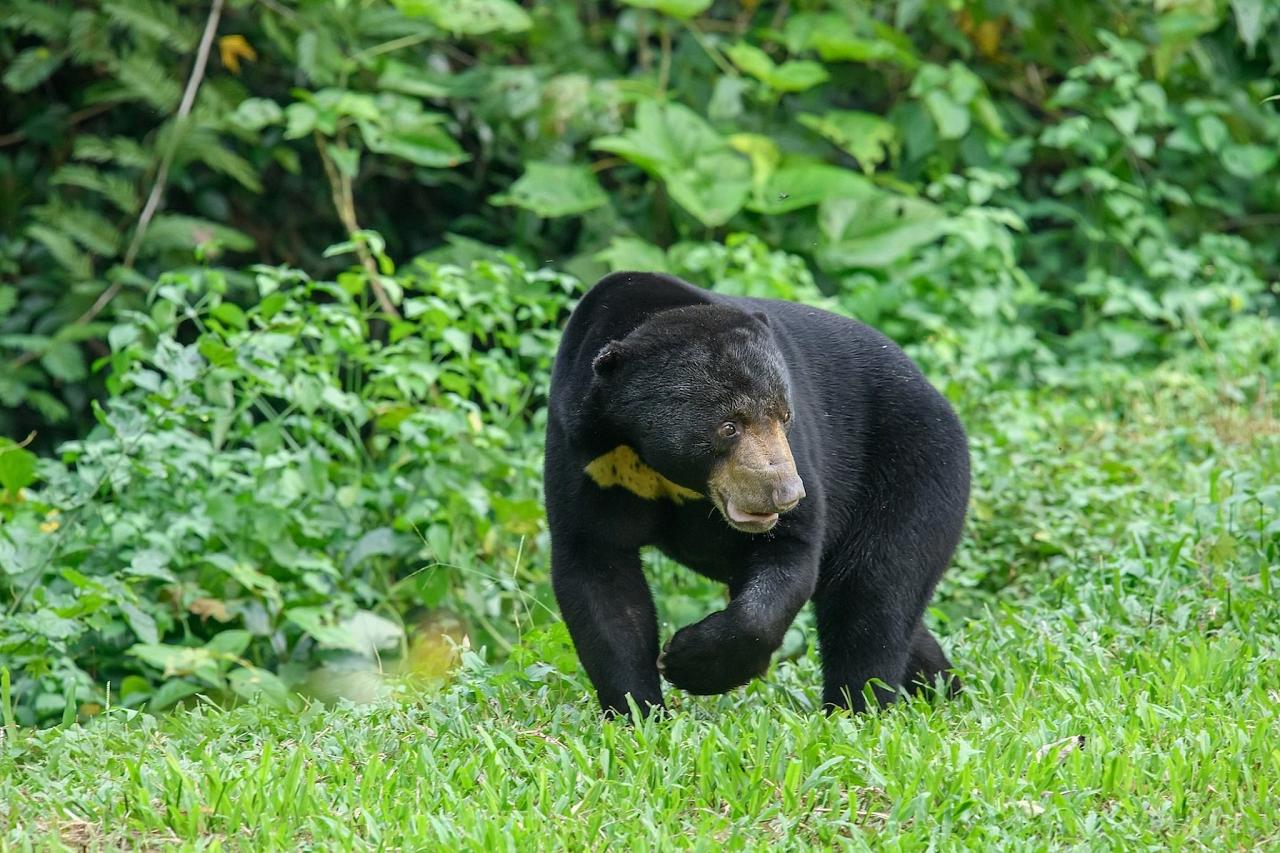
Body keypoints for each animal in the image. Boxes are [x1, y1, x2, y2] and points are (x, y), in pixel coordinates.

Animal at [542, 270, 967, 712]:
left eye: (784, 415)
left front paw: (690, 663)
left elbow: (790, 551)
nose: (786, 493)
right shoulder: (585, 456)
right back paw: (940, 689)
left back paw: (859, 705)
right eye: (728, 426)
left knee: (877, 591)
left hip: (914, 468)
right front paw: (637, 709)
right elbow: (599, 573)